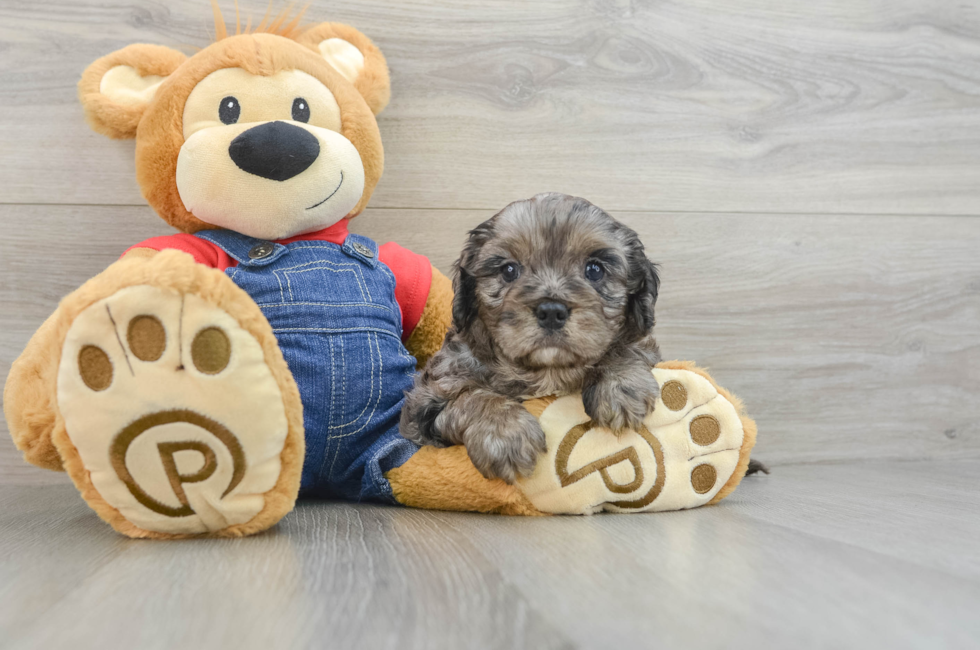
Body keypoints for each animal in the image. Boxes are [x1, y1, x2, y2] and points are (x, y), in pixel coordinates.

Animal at [400, 192, 668, 480]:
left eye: (595, 270)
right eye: (509, 270)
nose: (551, 311)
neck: (546, 370)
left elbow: (627, 345)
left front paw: (619, 384)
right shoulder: (425, 401)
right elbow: (471, 396)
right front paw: (504, 432)